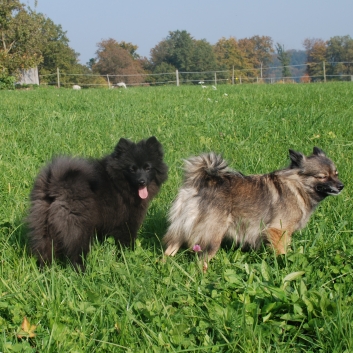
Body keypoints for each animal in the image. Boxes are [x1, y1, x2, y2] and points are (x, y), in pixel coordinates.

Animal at [26, 136, 167, 268]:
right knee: (76, 254)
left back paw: (46, 272)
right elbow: (126, 242)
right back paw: (81, 272)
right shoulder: (128, 222)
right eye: (132, 169)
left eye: (147, 168)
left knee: (45, 251)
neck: (118, 182)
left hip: (43, 226)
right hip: (78, 229)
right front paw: (127, 258)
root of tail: (56, 185)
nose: (141, 181)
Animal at [164, 147, 342, 268]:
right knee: (202, 262)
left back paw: (164, 265)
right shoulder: (278, 230)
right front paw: (285, 265)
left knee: (170, 249)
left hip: (182, 227)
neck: (297, 185)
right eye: (322, 176)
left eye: (336, 173)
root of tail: (202, 181)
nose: (341, 186)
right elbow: (283, 251)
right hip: (213, 237)